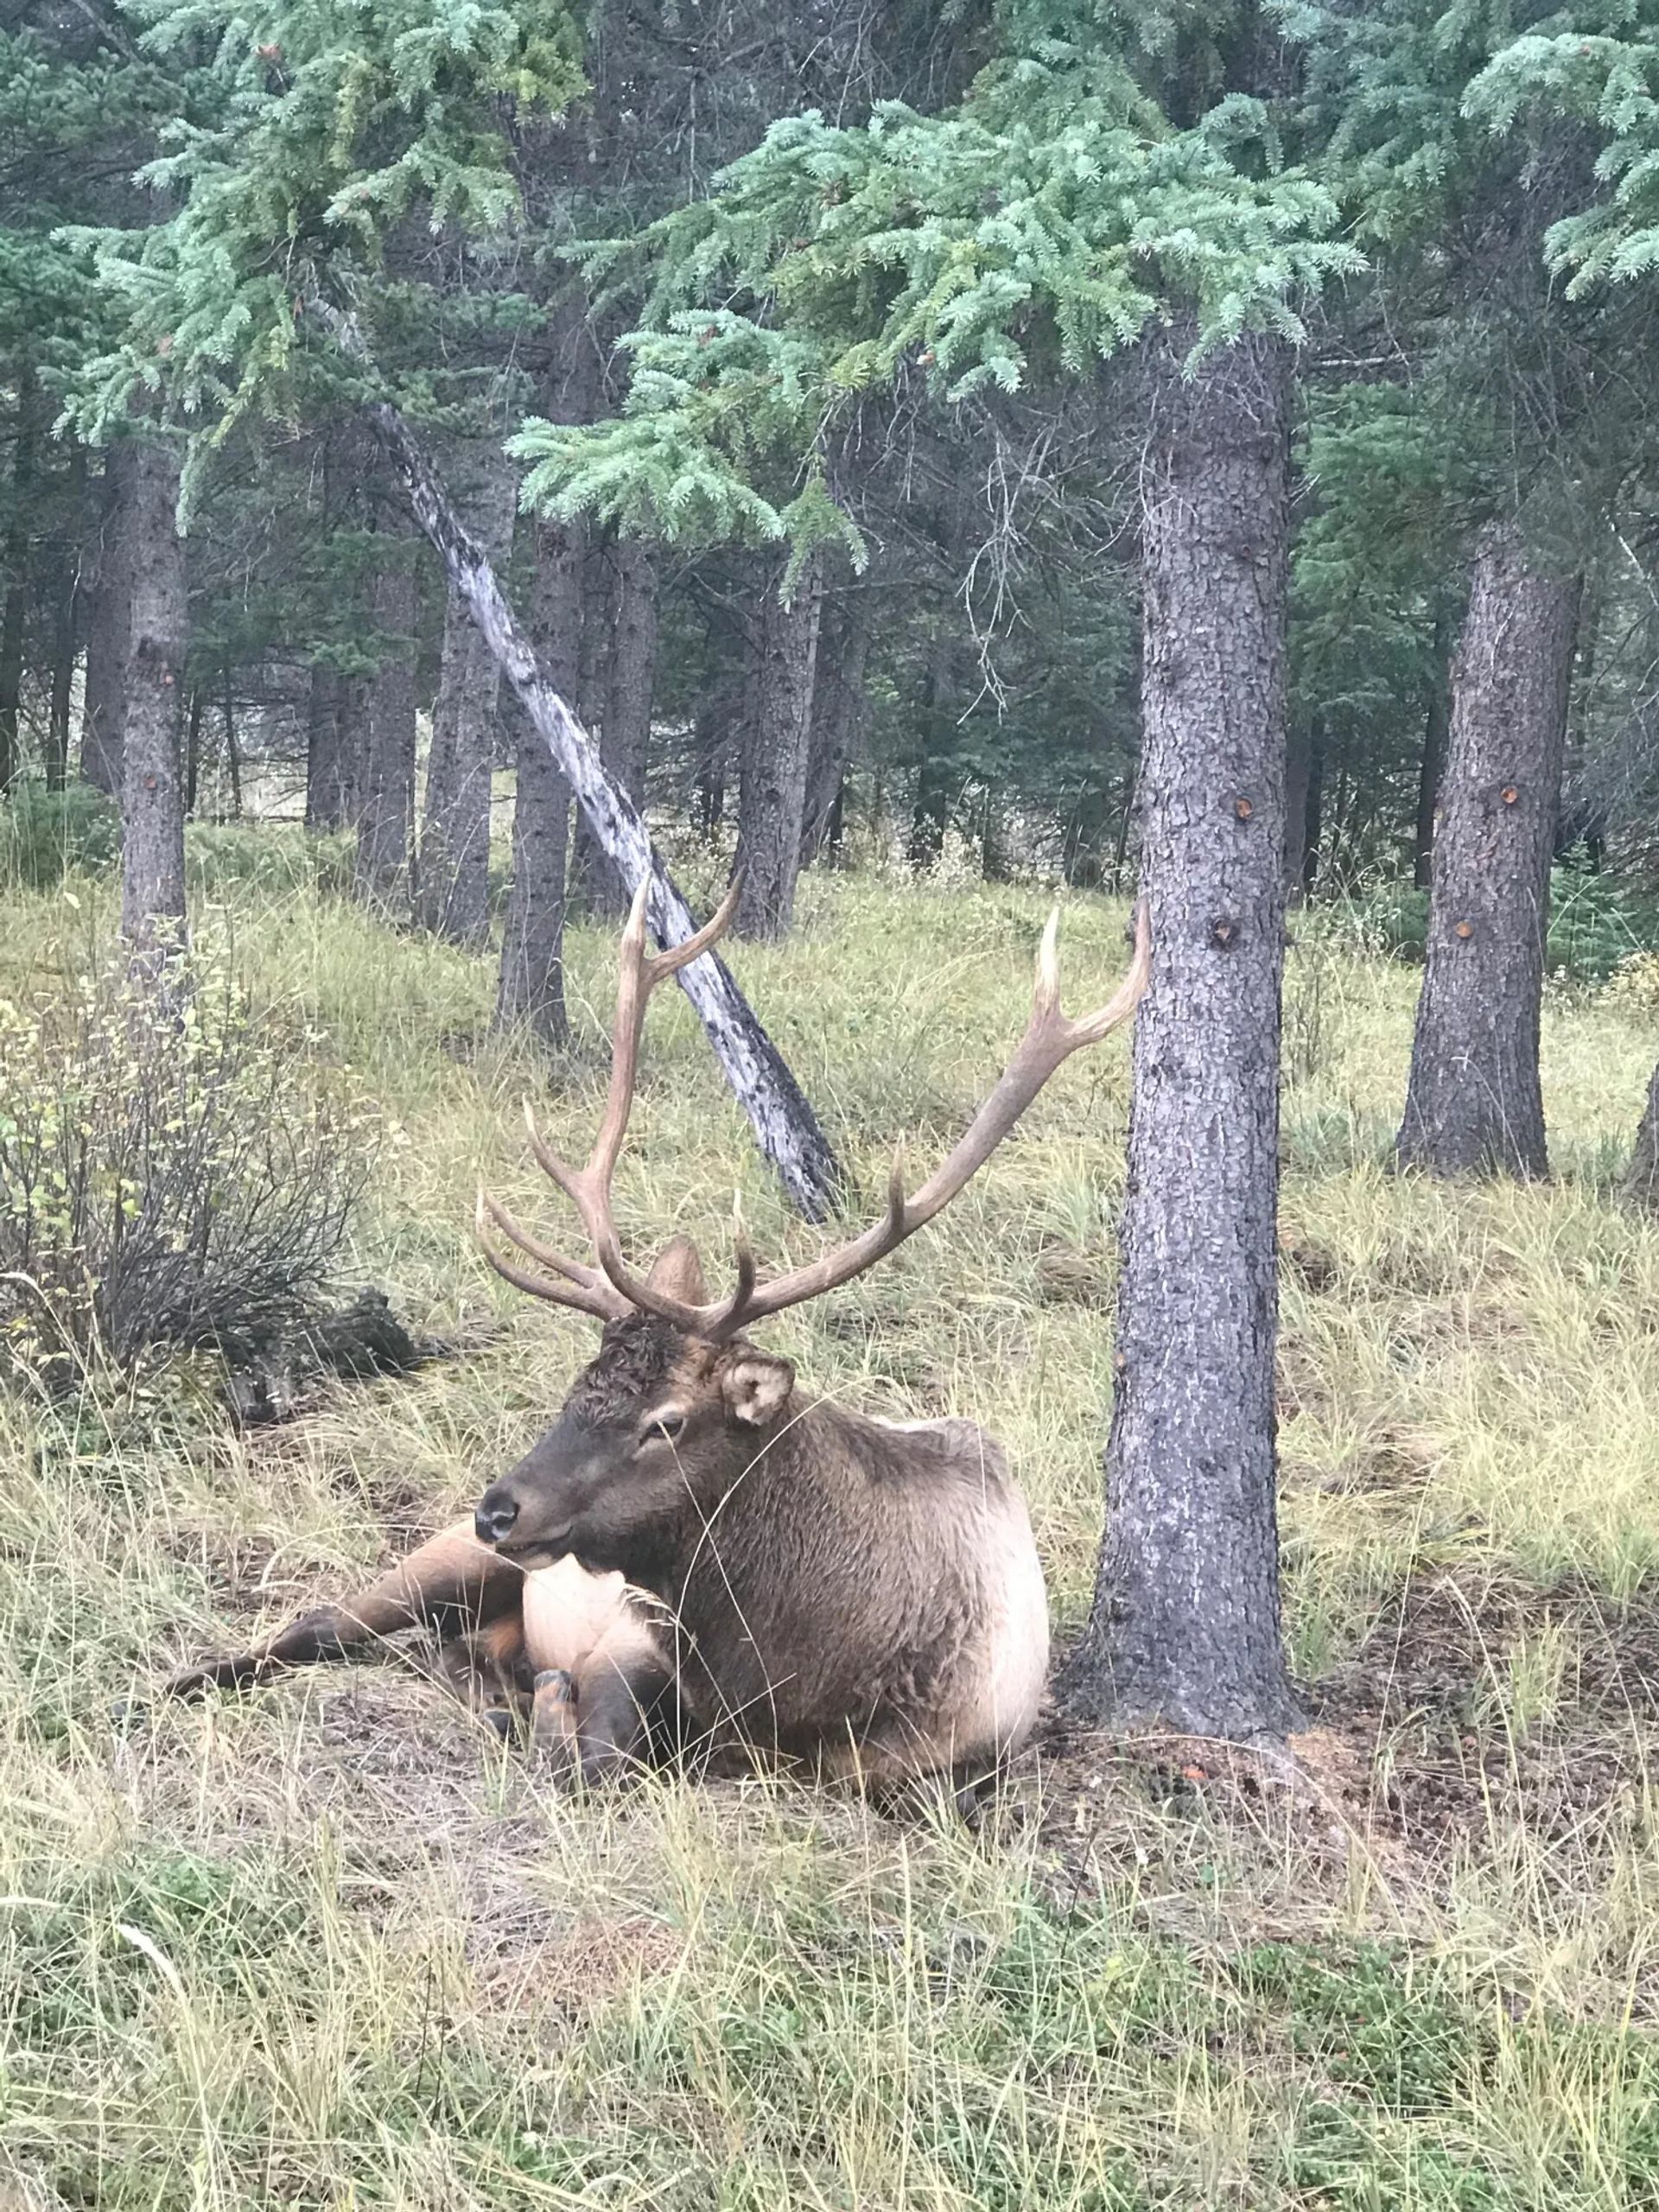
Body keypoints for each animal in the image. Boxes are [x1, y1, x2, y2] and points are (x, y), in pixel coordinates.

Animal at [160, 883, 1150, 1802]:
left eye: (666, 1422)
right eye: (578, 1385)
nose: (500, 1509)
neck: (798, 1679)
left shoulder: (949, 1761)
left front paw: (530, 1701)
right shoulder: (631, 1631)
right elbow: (598, 1755)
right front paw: (548, 1706)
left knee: (444, 1646)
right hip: (440, 1558)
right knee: (320, 1619)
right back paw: (185, 1681)